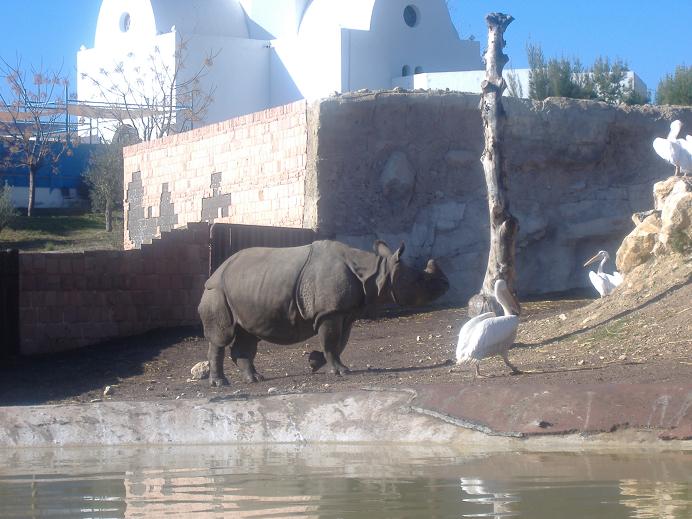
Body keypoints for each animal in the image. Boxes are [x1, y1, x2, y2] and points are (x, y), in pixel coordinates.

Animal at [198, 239, 449, 386]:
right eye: (422, 280)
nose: (447, 285)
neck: (376, 271)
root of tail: (215, 270)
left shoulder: (345, 312)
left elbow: (339, 343)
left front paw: (315, 362)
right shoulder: (330, 312)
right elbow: (331, 341)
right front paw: (341, 372)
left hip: (245, 291)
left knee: (248, 333)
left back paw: (255, 379)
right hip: (217, 291)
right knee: (222, 336)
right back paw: (221, 384)